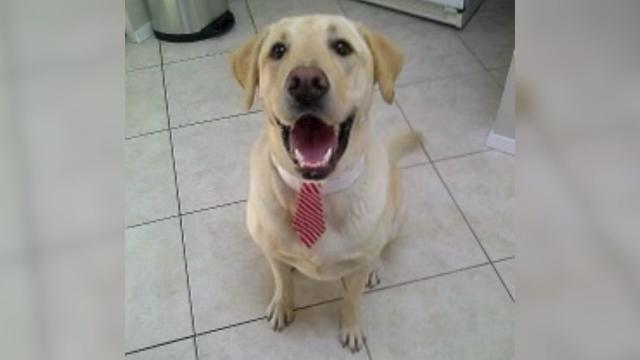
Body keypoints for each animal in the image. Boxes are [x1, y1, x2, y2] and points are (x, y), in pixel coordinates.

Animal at [229, 15, 420, 352]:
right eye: (278, 50)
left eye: (342, 47)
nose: (306, 82)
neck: (315, 188)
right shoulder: (268, 248)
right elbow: (281, 280)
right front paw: (283, 305)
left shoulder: (357, 265)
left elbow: (352, 299)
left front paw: (352, 327)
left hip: (396, 219)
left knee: (381, 246)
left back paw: (376, 267)